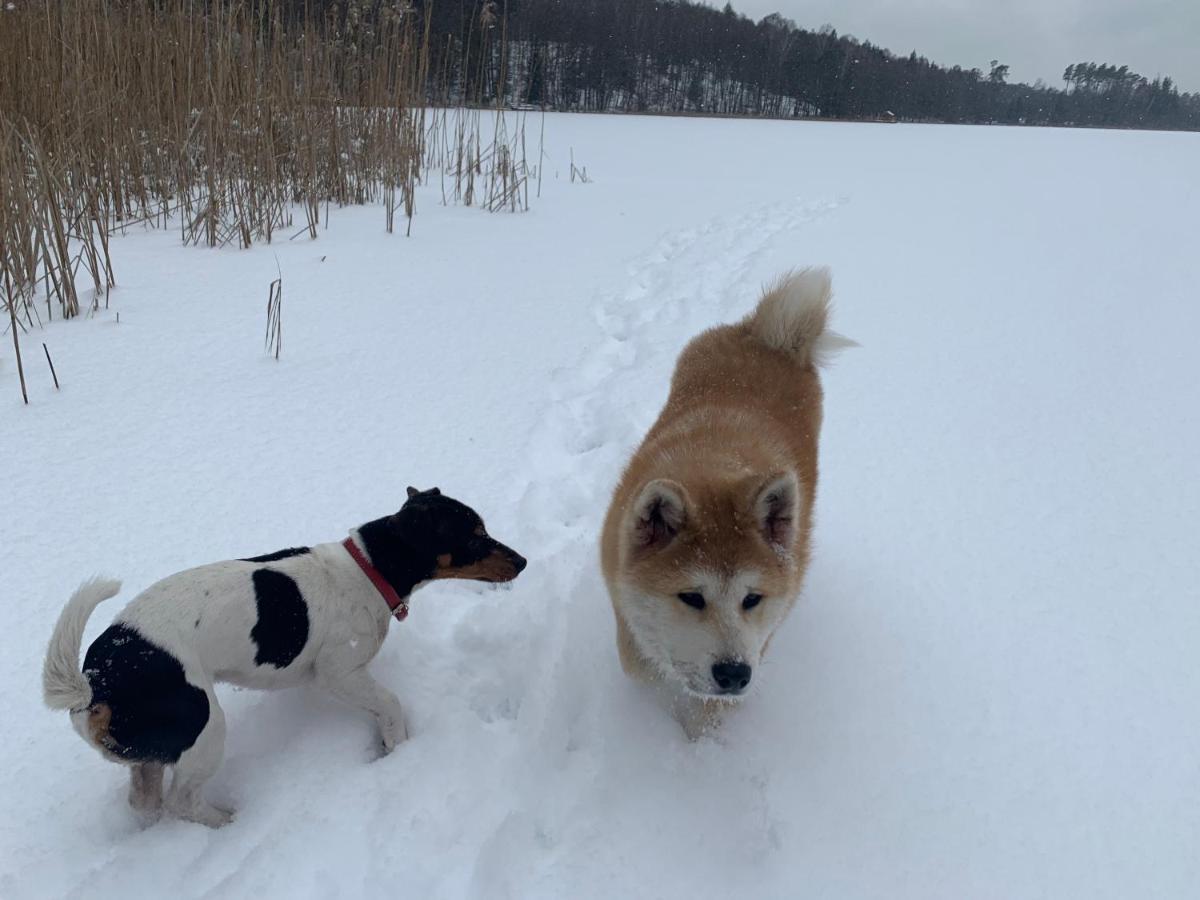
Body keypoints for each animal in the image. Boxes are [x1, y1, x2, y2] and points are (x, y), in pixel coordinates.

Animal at [44, 489, 523, 830]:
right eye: (473, 535)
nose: (521, 561)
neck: (369, 568)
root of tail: (94, 682)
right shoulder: (339, 674)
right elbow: (390, 706)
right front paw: (398, 752)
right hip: (204, 725)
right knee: (182, 801)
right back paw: (228, 822)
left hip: (156, 745)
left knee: (145, 801)